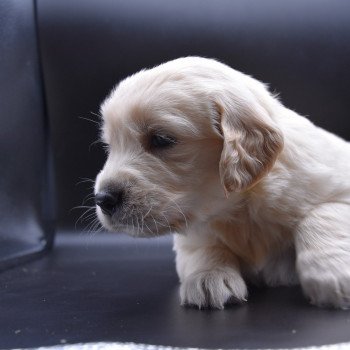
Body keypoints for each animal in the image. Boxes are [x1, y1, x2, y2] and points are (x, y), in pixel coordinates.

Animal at [93, 56, 350, 308]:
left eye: (161, 139)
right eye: (109, 146)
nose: (103, 199)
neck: (239, 210)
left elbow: (322, 215)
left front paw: (331, 274)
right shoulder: (194, 230)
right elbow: (203, 246)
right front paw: (208, 277)